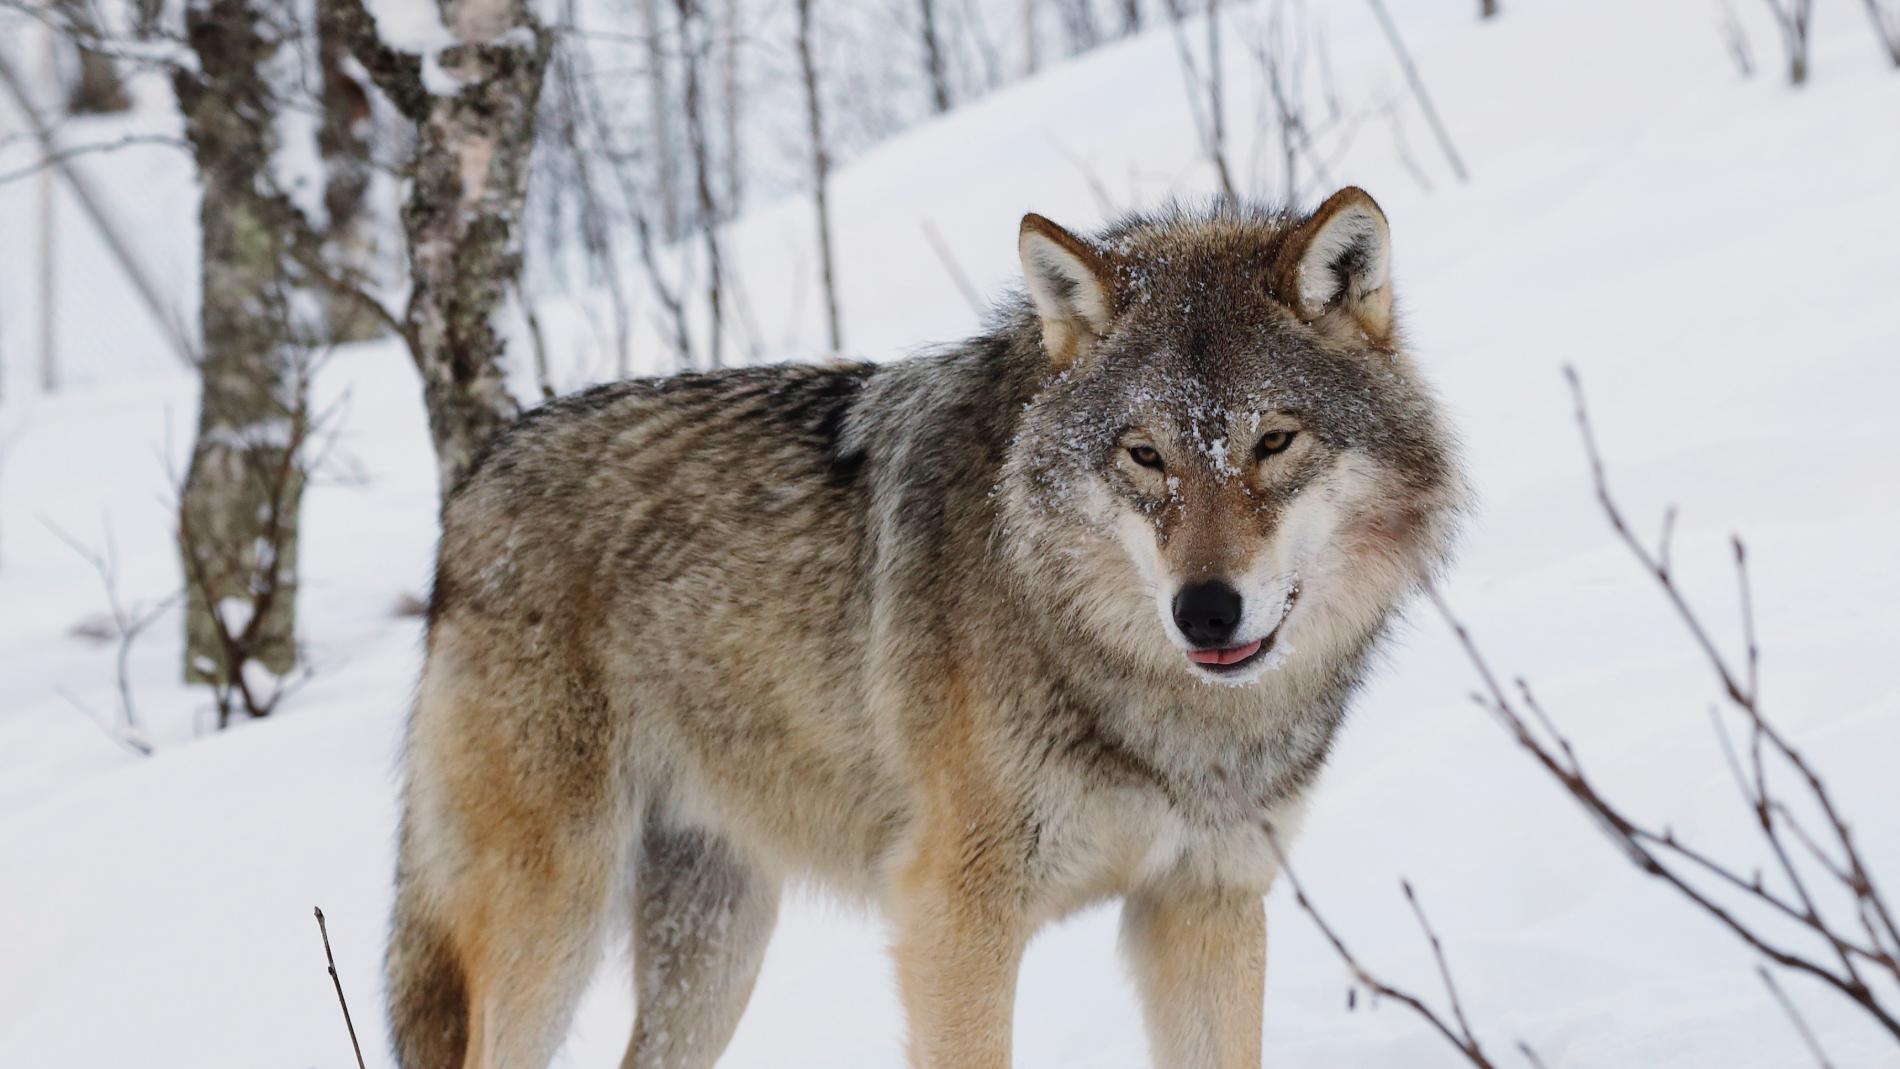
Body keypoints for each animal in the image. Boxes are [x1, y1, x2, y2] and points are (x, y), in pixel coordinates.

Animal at [389, 186, 1466, 1069]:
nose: (1204, 609)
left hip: (716, 942)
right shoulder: (952, 916)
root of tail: (477, 478)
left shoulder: (1206, 902)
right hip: (554, 919)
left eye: (1275, 441)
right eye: (1145, 456)